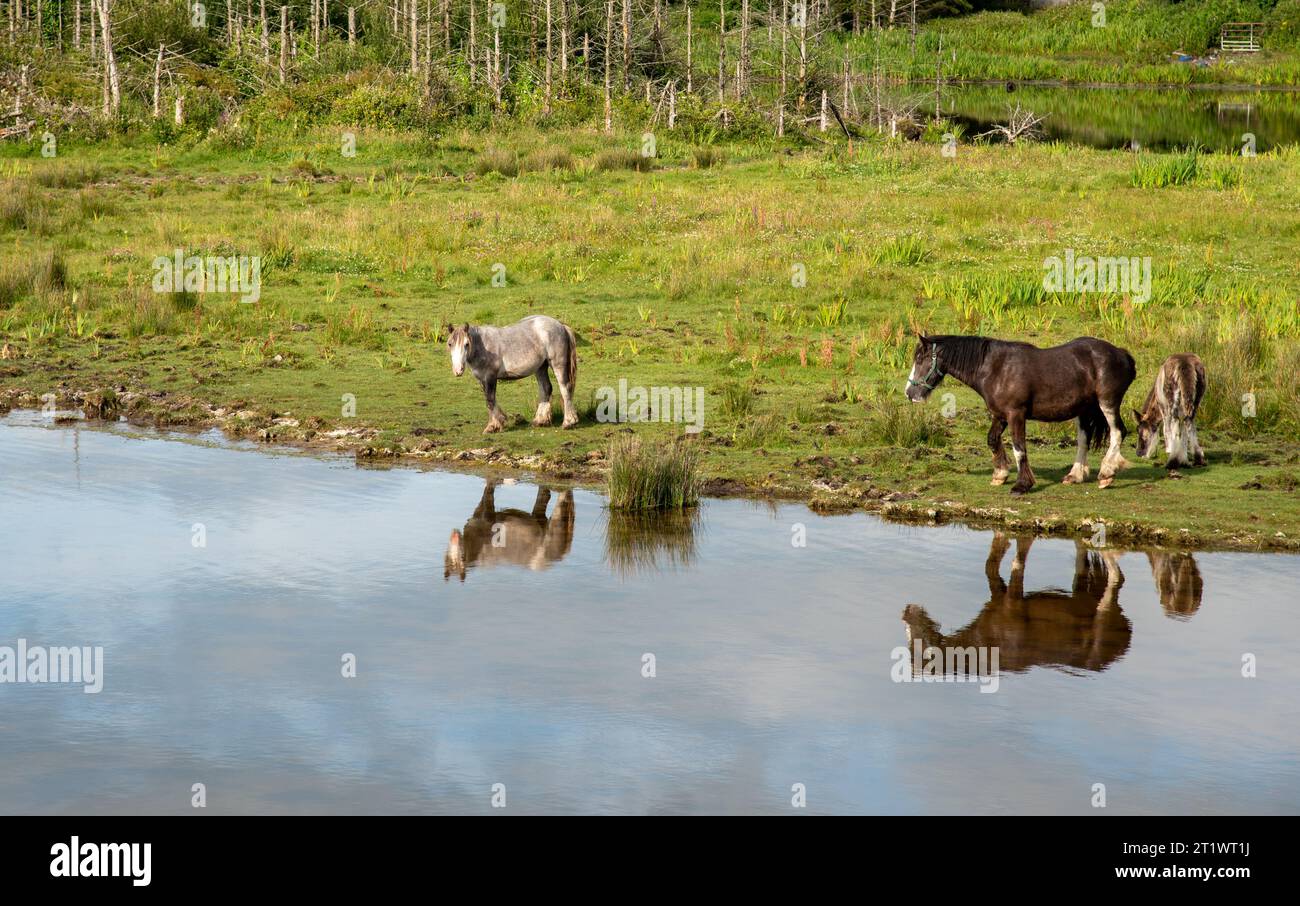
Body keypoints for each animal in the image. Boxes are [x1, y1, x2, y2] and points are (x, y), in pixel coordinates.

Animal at [449, 315, 582, 434]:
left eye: (466, 344)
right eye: (450, 344)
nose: (458, 370)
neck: (483, 347)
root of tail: (561, 325)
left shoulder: (490, 377)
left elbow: (490, 400)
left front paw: (492, 427)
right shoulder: (482, 379)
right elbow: (490, 399)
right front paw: (500, 421)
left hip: (557, 364)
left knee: (565, 388)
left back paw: (568, 422)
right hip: (541, 367)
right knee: (546, 388)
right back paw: (540, 421)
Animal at [904, 335, 1138, 493]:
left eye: (921, 359)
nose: (909, 393)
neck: (995, 369)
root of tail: (1122, 354)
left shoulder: (1016, 414)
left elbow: (1019, 448)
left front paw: (1022, 485)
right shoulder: (1000, 415)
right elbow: (992, 440)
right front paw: (1000, 474)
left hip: (1107, 404)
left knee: (1118, 432)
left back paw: (1106, 473)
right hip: (1084, 409)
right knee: (1084, 439)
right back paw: (1075, 475)